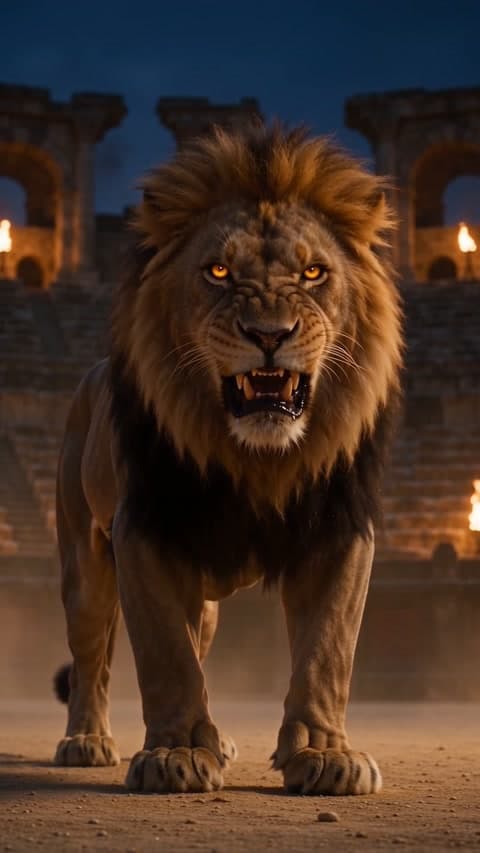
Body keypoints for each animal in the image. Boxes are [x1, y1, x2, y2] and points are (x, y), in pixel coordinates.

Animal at [54, 124, 402, 795]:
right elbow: (167, 656)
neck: (256, 459)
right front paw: (176, 754)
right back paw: (86, 740)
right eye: (218, 270)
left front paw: (326, 755)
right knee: (92, 659)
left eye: (314, 272)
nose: (270, 334)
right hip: (84, 565)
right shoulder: (147, 530)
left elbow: (327, 650)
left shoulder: (341, 529)